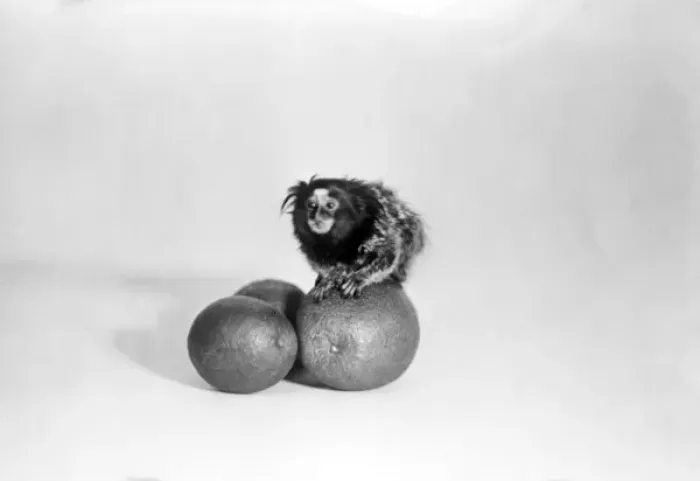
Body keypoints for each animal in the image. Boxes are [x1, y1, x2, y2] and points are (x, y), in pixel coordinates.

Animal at [280, 175, 427, 302]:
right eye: (311, 205)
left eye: (330, 205)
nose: (316, 216)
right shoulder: (311, 246)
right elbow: (320, 264)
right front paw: (330, 278)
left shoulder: (378, 229)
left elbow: (388, 255)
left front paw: (358, 278)